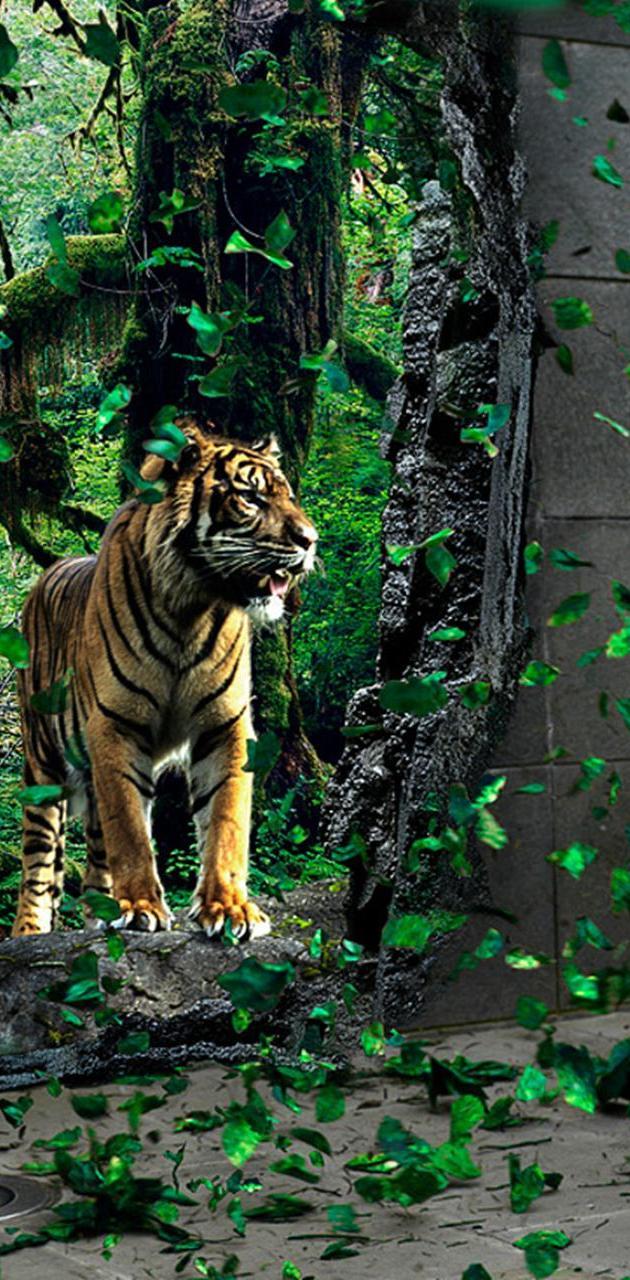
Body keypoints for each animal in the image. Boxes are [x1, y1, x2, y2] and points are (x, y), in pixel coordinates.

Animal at [11, 421, 318, 940]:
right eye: (251, 497)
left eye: (288, 496)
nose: (311, 540)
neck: (190, 607)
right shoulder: (115, 725)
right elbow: (130, 829)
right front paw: (140, 906)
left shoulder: (226, 726)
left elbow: (226, 818)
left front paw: (230, 908)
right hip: (42, 765)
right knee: (38, 864)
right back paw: (30, 932)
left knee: (95, 858)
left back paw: (100, 914)